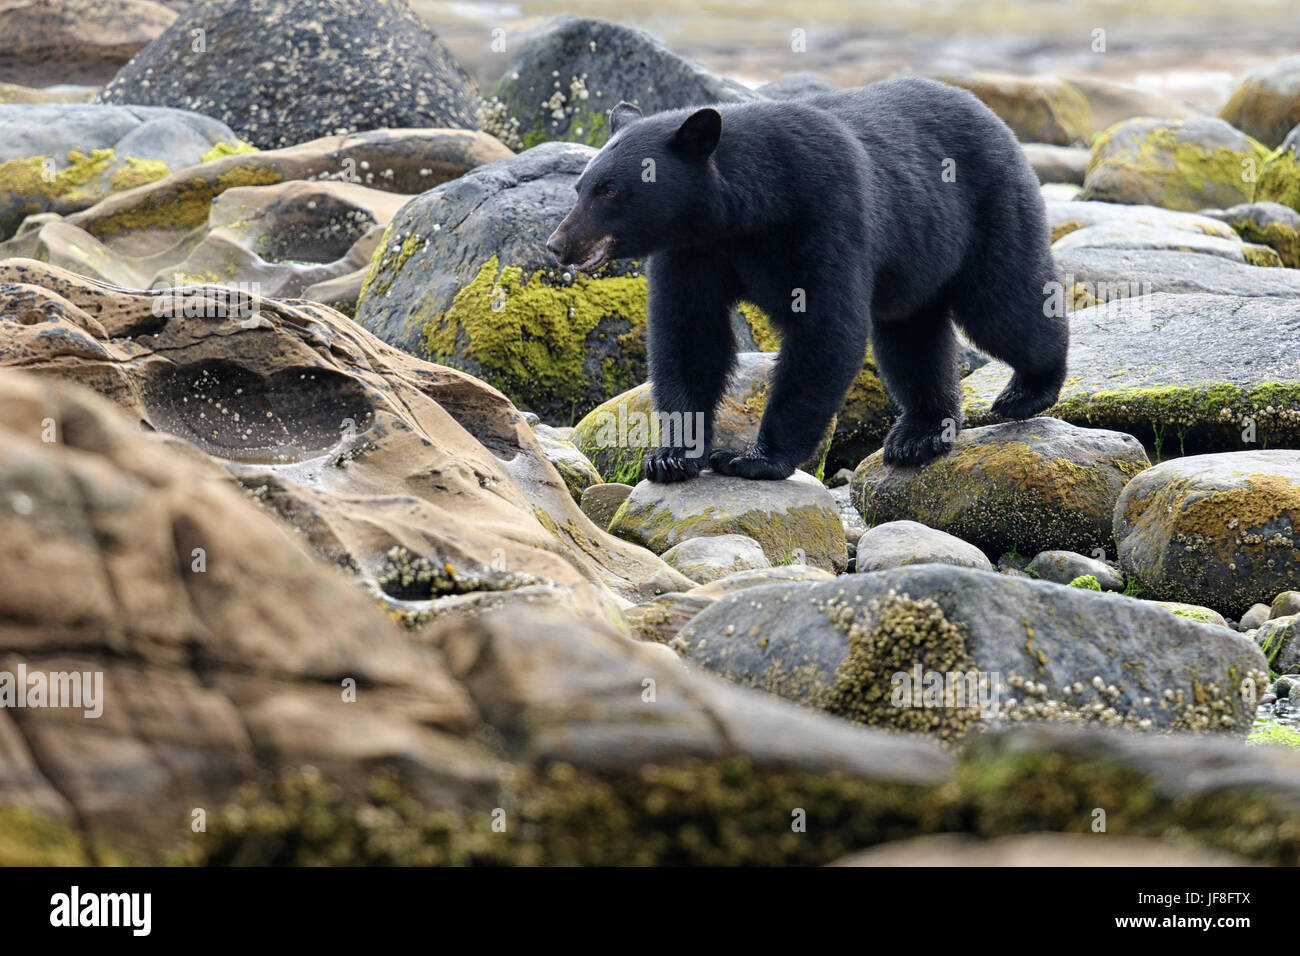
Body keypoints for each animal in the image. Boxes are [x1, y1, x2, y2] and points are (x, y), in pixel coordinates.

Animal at [548, 75, 1066, 481]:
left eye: (609, 189)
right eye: (580, 185)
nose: (557, 245)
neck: (744, 213)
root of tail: (991, 115)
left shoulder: (825, 214)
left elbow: (825, 329)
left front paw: (755, 459)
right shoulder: (692, 252)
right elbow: (688, 336)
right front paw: (673, 456)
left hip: (990, 207)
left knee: (1004, 303)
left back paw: (1027, 391)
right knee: (911, 339)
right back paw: (919, 434)